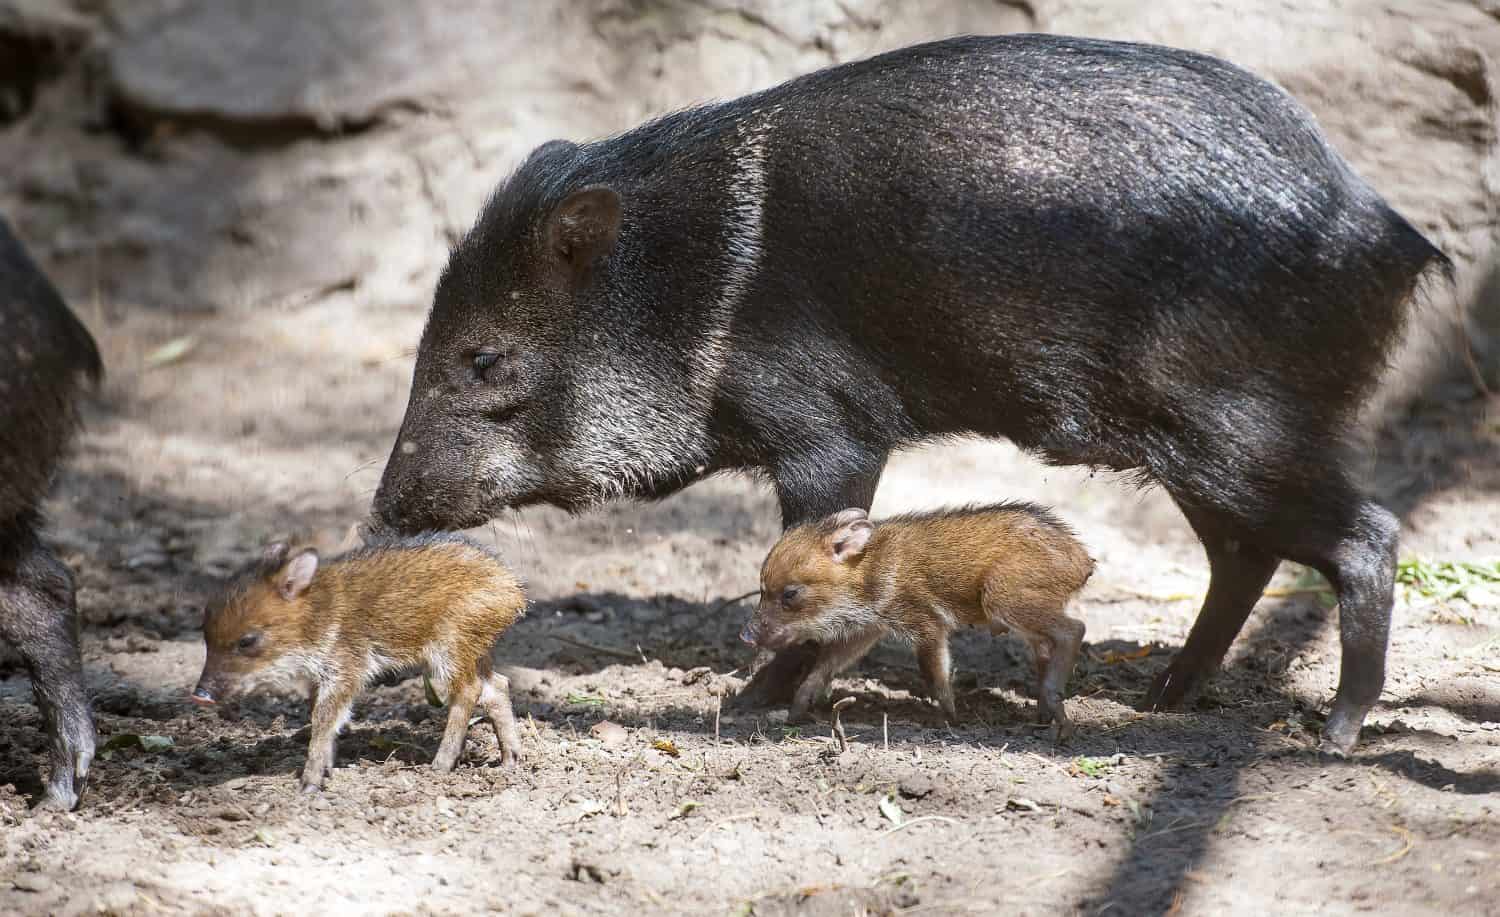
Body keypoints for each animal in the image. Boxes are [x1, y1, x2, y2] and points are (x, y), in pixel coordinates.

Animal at [191, 534, 526, 793]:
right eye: (204, 634)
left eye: (247, 640)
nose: (199, 695)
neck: (317, 617)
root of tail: (514, 592)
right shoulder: (319, 677)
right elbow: (318, 714)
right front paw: (327, 771)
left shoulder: (346, 669)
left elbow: (324, 718)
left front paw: (309, 785)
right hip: (474, 649)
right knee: (497, 686)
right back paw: (510, 761)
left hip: (451, 646)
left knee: (468, 691)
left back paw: (439, 767)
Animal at [742, 505, 1094, 739]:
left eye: (790, 593)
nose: (747, 635)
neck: (868, 573)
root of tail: (1083, 562)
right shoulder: (870, 628)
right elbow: (826, 665)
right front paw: (794, 713)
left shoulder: (925, 623)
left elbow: (934, 673)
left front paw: (950, 720)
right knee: (1045, 648)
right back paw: (1043, 718)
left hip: (1003, 596)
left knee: (1074, 629)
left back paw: (1059, 717)